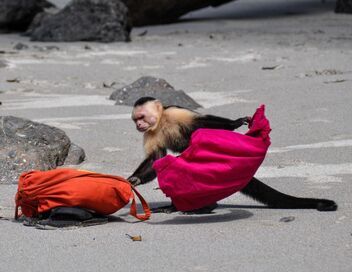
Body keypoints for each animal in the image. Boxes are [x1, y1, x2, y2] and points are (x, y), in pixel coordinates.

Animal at [128, 96, 336, 214]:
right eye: (135, 119)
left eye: (141, 117)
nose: (138, 125)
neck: (161, 121)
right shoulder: (150, 133)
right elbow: (155, 159)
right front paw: (134, 180)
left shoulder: (174, 112)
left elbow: (202, 123)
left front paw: (235, 123)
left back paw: (202, 208)